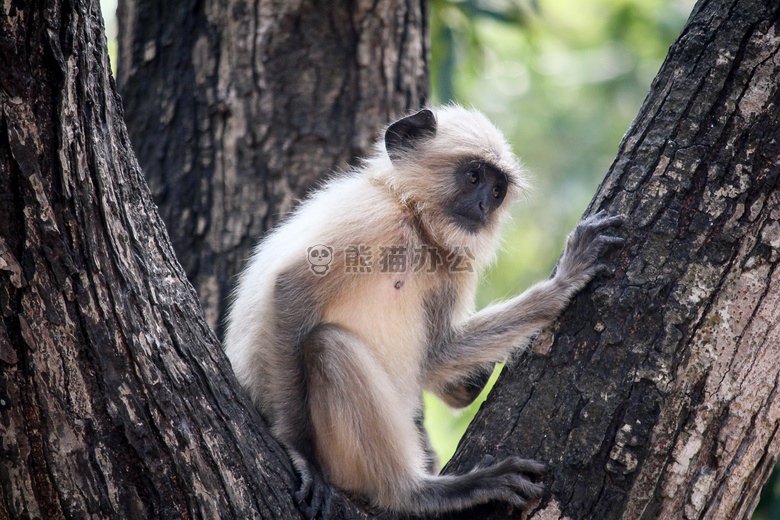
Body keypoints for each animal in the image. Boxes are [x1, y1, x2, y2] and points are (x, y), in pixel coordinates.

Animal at [222, 105, 624, 516]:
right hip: (340, 455)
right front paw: (300, 451)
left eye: (497, 191)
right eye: (473, 176)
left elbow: (436, 354)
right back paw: (421, 492)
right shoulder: (373, 220)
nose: (483, 206)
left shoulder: (452, 261)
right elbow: (287, 291)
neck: (414, 221)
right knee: (327, 345)